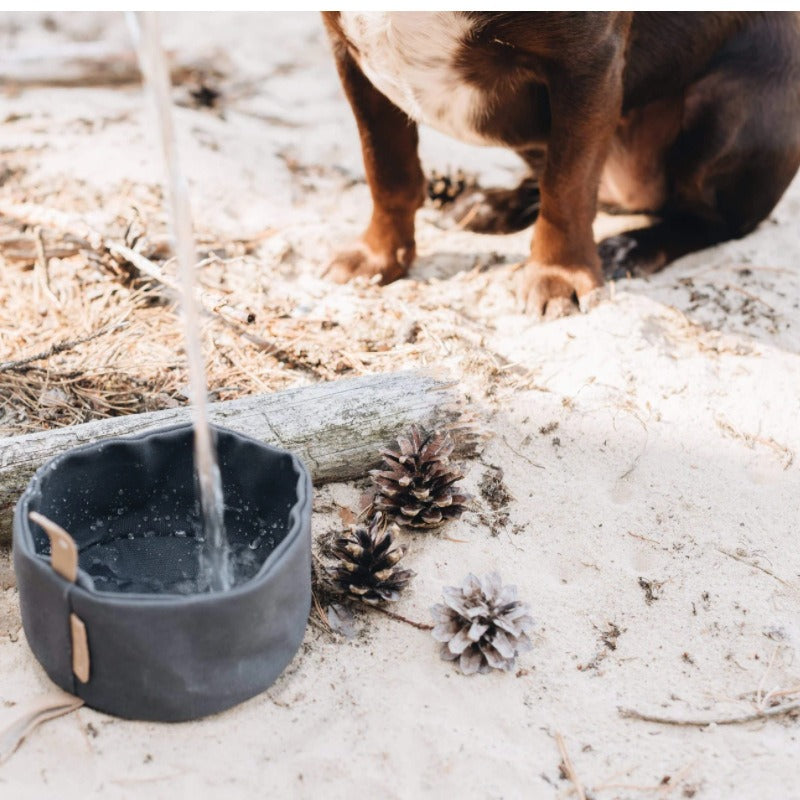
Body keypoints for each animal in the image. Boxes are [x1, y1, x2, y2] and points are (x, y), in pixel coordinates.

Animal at [320, 12, 800, 318]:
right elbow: (387, 170)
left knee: (714, 220)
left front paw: (558, 275)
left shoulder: (587, 63)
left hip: (729, 104)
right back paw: (489, 206)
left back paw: (633, 246)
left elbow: (568, 187)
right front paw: (379, 256)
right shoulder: (352, 56)